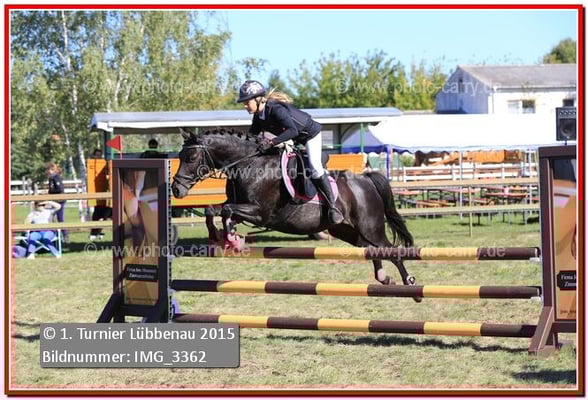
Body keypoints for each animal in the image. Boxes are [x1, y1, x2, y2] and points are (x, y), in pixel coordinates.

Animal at [171, 128, 420, 300]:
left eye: (191, 158)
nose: (176, 189)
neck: (249, 164)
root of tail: (366, 179)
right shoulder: (239, 205)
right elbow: (212, 209)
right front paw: (219, 236)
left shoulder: (261, 213)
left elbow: (226, 210)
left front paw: (234, 240)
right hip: (347, 231)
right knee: (371, 249)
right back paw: (384, 278)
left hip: (370, 227)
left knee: (392, 251)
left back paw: (411, 286)